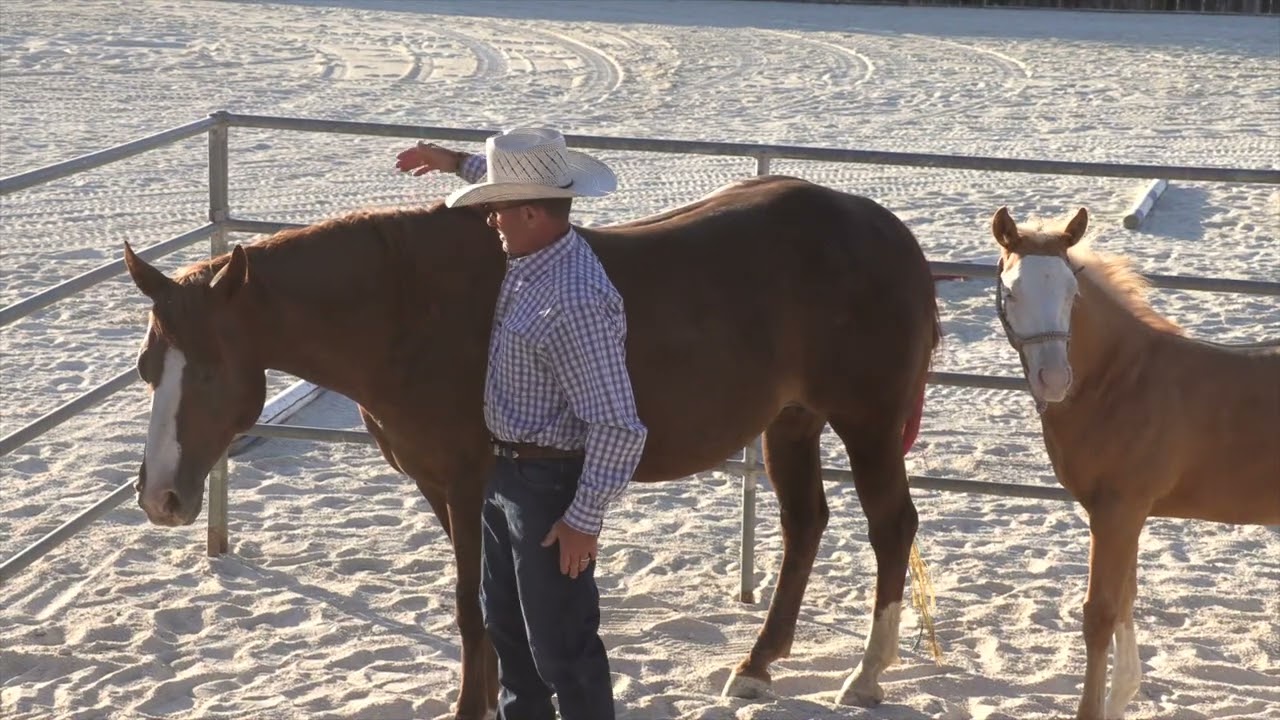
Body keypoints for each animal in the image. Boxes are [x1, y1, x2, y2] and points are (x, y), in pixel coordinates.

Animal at [122, 174, 941, 718]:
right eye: (147, 368)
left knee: (890, 527)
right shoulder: (441, 486)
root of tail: (888, 232)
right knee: (806, 526)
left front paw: (469, 707)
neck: (407, 311)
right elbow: (483, 601)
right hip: (791, 424)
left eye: (209, 371)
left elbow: (469, 604)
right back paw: (758, 665)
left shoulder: (466, 479)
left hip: (866, 423)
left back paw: (866, 676)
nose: (160, 498)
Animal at [990, 206, 1280, 720]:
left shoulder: (1119, 510)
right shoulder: (1119, 514)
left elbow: (1100, 611)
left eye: (1072, 293)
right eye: (1012, 290)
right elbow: (1127, 597)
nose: (1053, 379)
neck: (1122, 380)